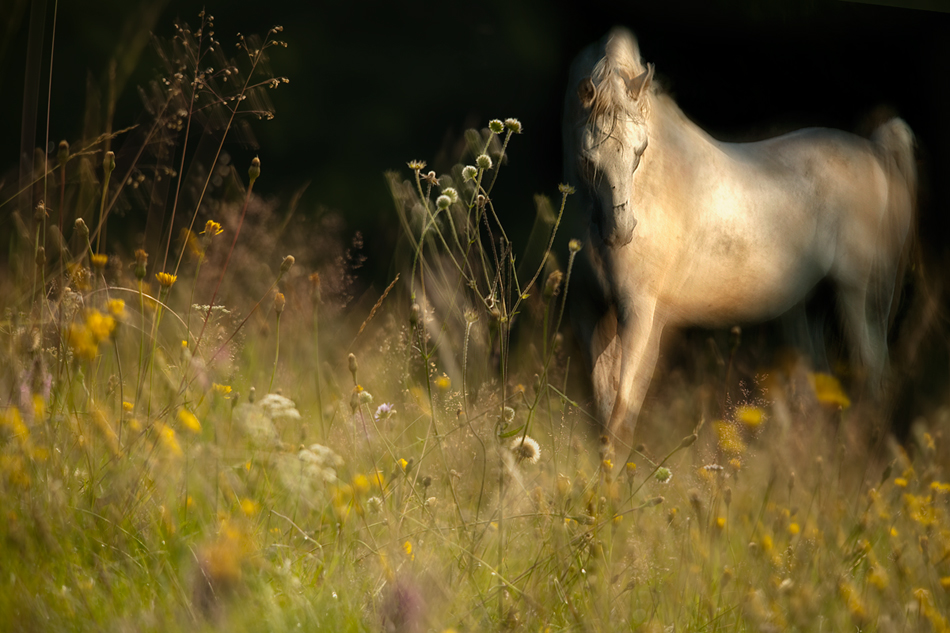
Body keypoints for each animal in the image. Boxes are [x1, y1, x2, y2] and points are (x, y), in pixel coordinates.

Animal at [564, 28, 916, 440]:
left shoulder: (641, 315)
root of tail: (876, 153)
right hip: (808, 307)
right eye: (588, 159)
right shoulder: (588, 312)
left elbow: (621, 414)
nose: (620, 231)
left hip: (859, 295)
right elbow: (603, 410)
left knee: (875, 375)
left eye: (640, 150)